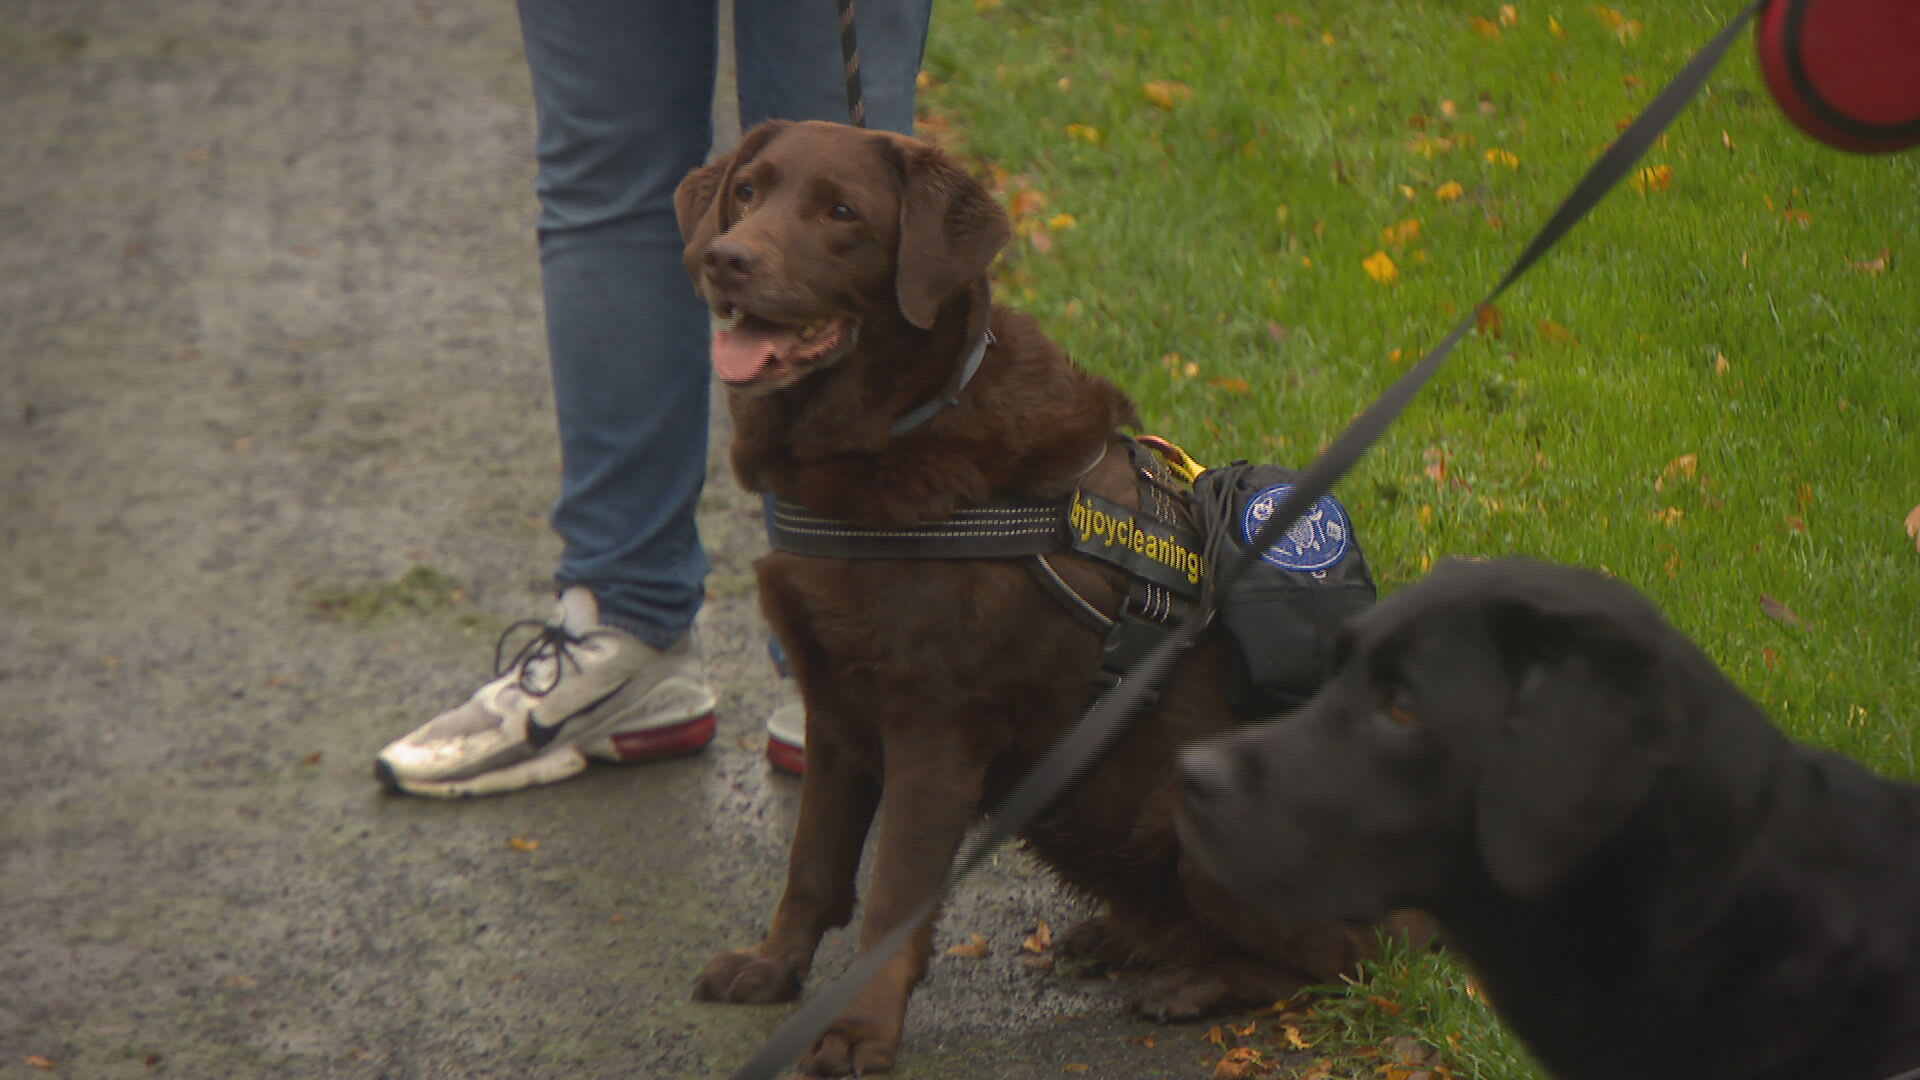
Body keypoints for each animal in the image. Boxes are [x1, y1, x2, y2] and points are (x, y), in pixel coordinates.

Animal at [675, 122, 1413, 1068]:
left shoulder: (935, 727)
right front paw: (772, 970)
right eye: (746, 193)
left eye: (840, 212)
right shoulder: (834, 705)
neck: (901, 428)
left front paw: (857, 1029)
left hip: (1207, 809)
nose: (725, 260)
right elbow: (812, 865)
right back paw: (1122, 939)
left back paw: (1192, 983)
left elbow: (891, 900)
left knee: (1349, 959)